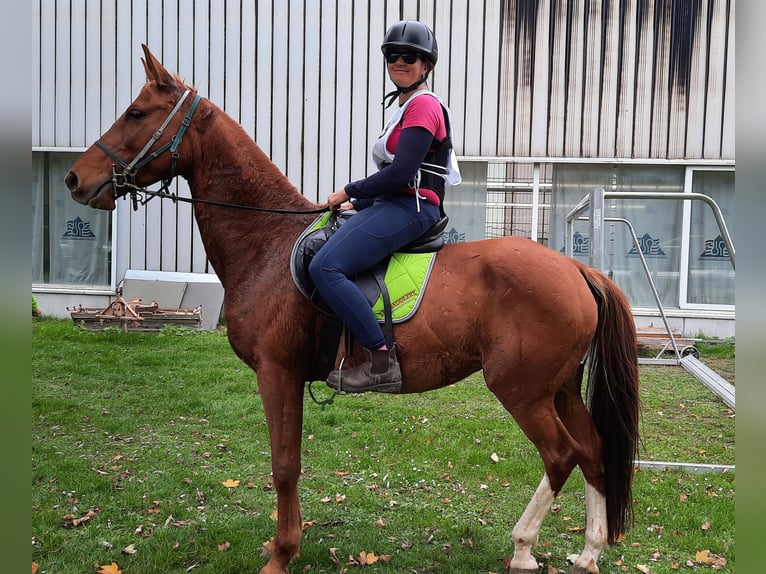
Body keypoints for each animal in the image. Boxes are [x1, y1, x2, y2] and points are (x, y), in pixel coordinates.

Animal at [65, 45, 639, 574]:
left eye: (136, 113)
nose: (74, 179)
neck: (267, 240)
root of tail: (577, 270)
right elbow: (289, 463)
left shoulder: (277, 372)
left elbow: (284, 465)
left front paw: (282, 555)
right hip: (559, 388)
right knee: (593, 452)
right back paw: (588, 553)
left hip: (522, 389)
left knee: (562, 455)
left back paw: (522, 550)